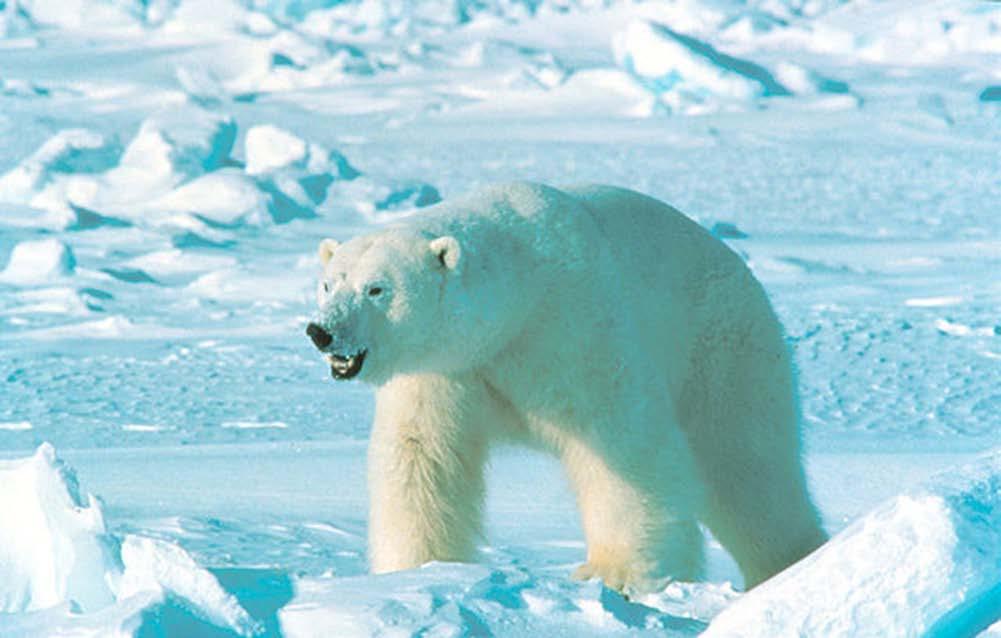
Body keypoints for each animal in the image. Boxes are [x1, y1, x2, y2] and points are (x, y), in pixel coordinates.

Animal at [306, 183, 828, 592]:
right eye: (330, 285)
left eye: (377, 288)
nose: (321, 331)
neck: (516, 303)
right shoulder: (445, 370)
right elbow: (422, 454)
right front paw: (415, 570)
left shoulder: (572, 328)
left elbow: (622, 444)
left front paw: (616, 573)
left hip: (723, 351)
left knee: (748, 467)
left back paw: (790, 565)